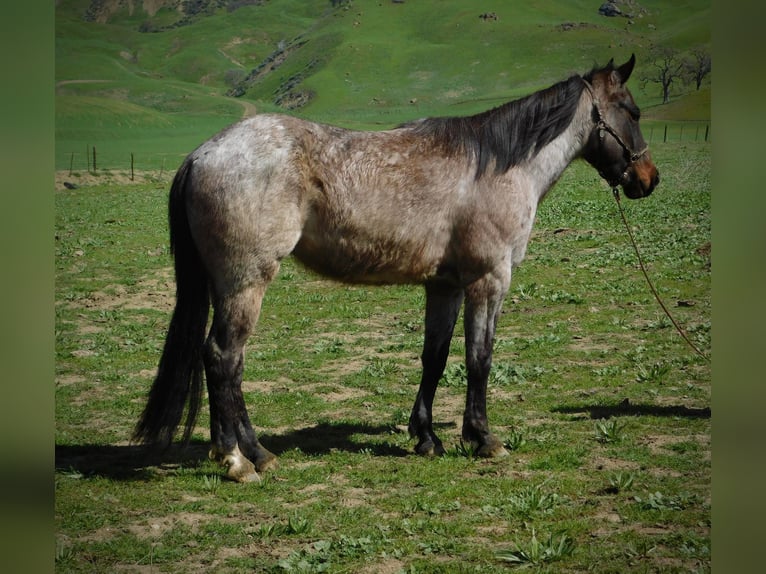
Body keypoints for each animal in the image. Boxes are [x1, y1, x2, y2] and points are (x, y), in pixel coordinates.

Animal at [134, 55, 660, 486]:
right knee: (223, 357)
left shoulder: (444, 286)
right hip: (246, 282)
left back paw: (258, 454)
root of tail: (202, 154)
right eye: (633, 112)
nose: (649, 178)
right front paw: (483, 438)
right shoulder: (489, 280)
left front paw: (427, 437)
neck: (496, 166)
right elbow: (480, 358)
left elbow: (435, 358)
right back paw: (237, 460)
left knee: (228, 362)